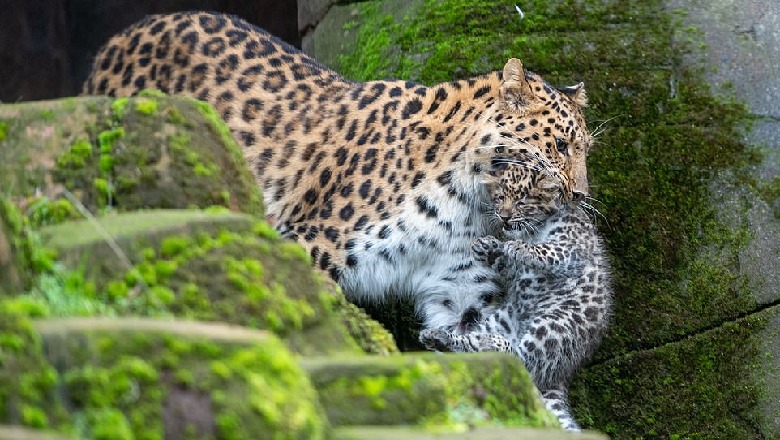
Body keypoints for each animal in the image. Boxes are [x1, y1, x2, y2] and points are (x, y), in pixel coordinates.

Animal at [82, 11, 592, 330]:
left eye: (585, 149)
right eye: (560, 146)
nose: (580, 197)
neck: (467, 201)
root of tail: (117, 39)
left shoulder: (459, 284)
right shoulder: (311, 241)